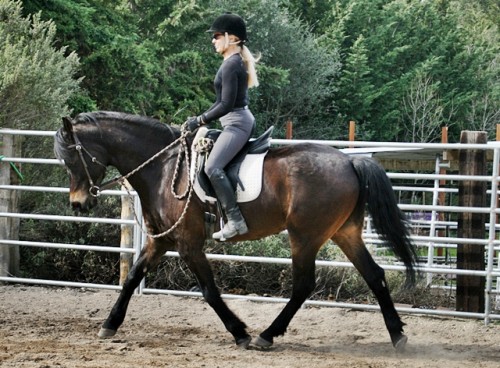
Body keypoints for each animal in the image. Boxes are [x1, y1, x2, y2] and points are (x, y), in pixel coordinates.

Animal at [54, 111, 418, 350]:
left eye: (71, 159)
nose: (78, 204)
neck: (163, 168)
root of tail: (349, 162)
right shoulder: (161, 240)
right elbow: (131, 279)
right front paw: (109, 325)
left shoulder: (188, 244)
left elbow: (210, 291)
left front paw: (239, 332)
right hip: (344, 233)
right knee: (375, 275)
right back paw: (397, 334)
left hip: (305, 237)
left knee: (303, 285)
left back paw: (265, 335)